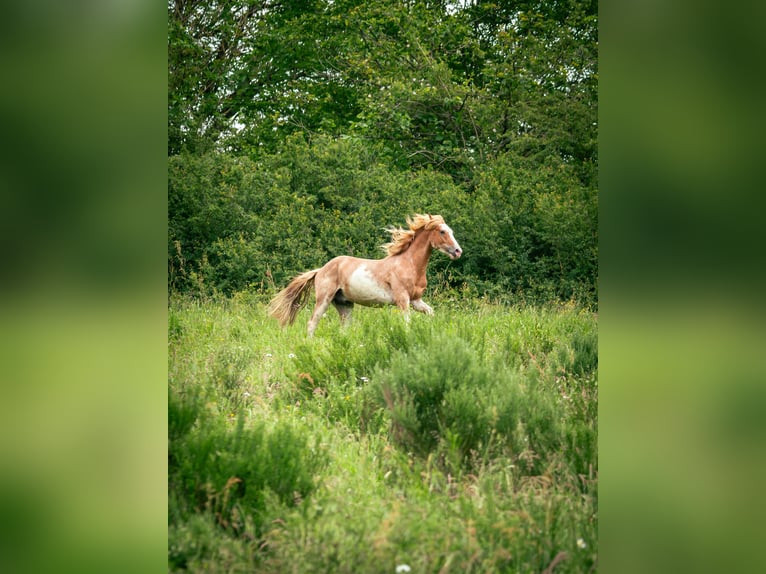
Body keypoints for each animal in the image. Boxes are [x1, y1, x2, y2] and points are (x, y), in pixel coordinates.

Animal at [270, 214, 462, 336]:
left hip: (344, 304)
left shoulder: (416, 301)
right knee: (312, 324)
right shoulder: (403, 300)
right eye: (442, 231)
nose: (458, 251)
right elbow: (407, 324)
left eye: (451, 230)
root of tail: (321, 269)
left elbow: (431, 313)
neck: (410, 264)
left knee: (344, 328)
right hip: (324, 299)